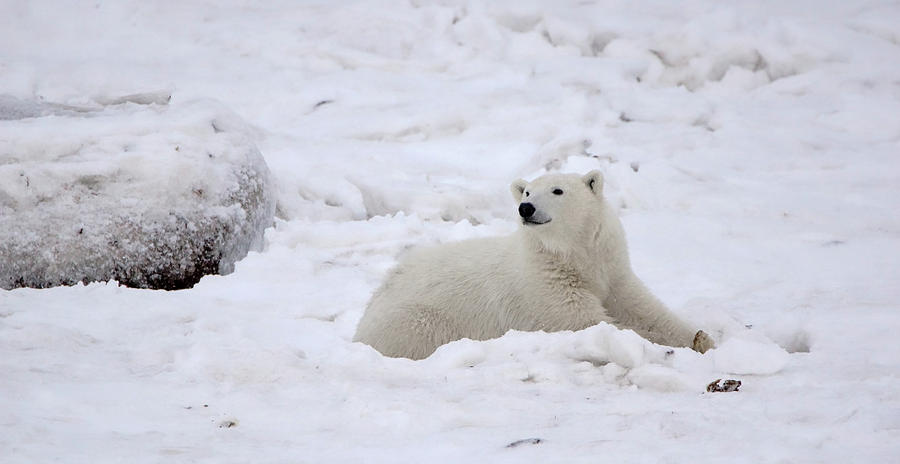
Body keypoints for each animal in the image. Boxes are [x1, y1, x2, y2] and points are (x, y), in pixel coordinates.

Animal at [356, 170, 712, 358]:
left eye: (558, 190)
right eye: (527, 191)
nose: (525, 208)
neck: (572, 256)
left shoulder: (611, 269)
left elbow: (644, 308)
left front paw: (701, 337)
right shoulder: (544, 287)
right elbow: (588, 322)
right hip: (417, 320)